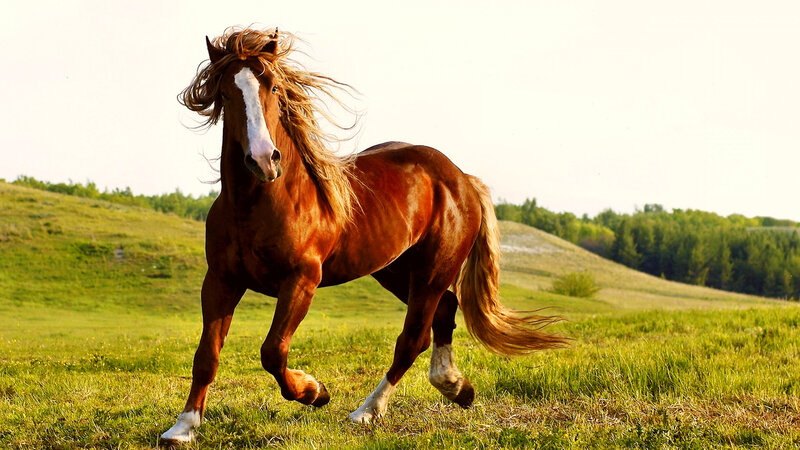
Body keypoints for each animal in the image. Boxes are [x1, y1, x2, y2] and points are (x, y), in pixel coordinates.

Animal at [161, 26, 566, 444]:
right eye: (225, 93)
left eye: (272, 87)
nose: (262, 160)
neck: (260, 202)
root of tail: (461, 178)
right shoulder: (221, 280)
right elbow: (206, 355)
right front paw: (183, 427)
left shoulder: (302, 279)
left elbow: (273, 351)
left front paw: (315, 391)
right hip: (395, 271)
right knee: (444, 312)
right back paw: (456, 387)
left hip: (432, 271)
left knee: (412, 339)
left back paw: (367, 411)